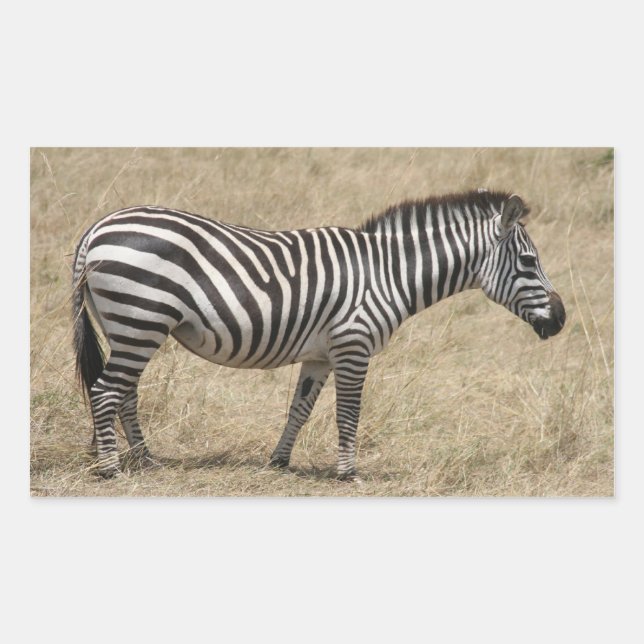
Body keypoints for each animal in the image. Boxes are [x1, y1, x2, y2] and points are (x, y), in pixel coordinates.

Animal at [72, 189, 565, 481]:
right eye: (528, 262)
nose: (560, 320)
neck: (387, 274)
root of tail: (97, 228)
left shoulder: (321, 355)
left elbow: (301, 409)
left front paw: (279, 461)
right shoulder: (353, 346)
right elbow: (348, 413)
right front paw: (348, 473)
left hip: (129, 326)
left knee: (125, 393)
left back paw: (146, 459)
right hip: (141, 318)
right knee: (105, 392)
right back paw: (111, 468)